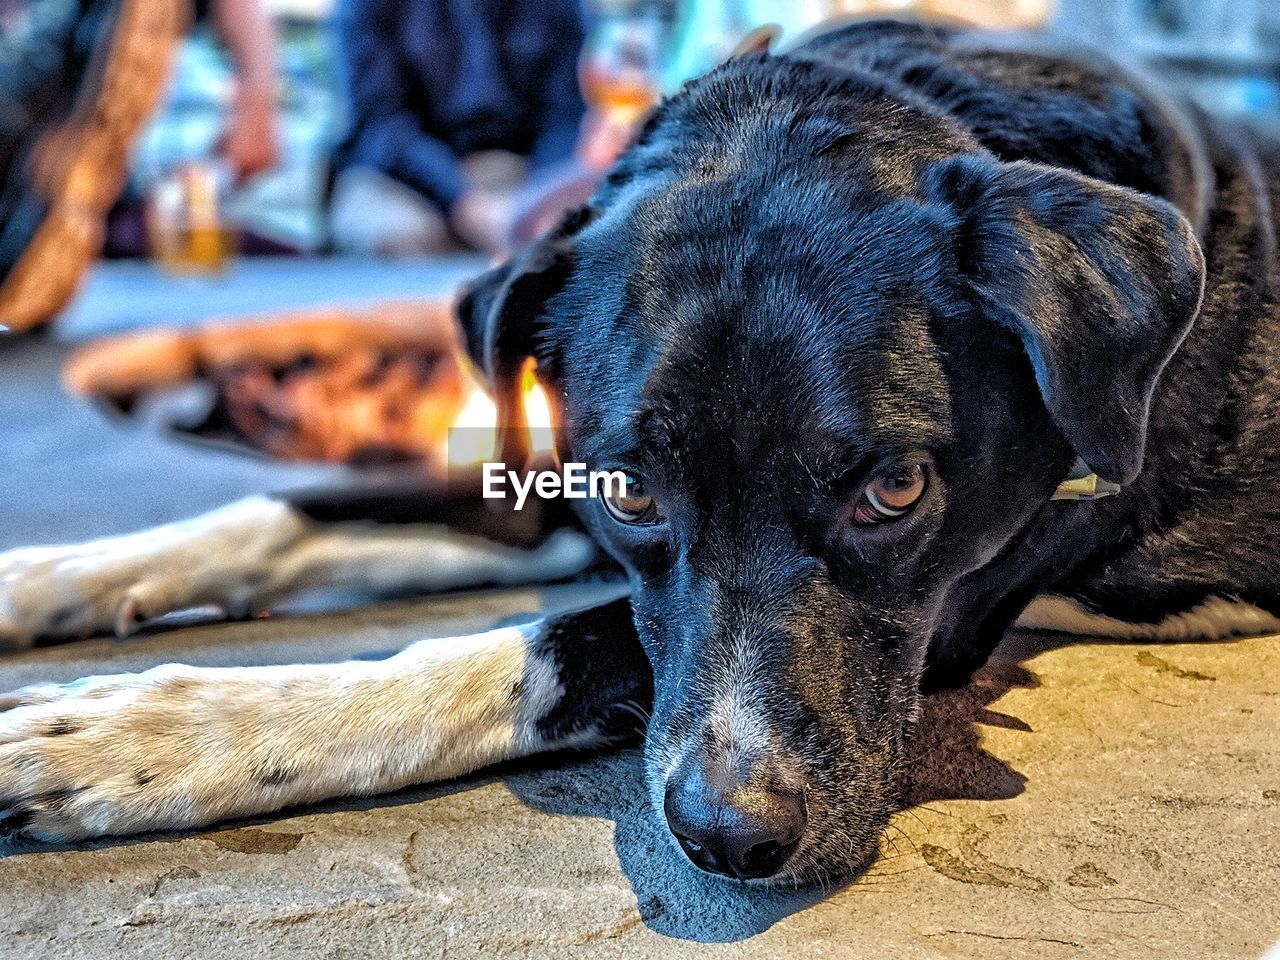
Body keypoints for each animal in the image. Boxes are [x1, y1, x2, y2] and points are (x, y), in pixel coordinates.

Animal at [2, 18, 1280, 885]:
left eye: (894, 489)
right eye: (628, 493)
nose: (731, 838)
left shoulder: (961, 602)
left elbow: (545, 646)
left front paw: (147, 738)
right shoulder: (546, 472)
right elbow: (289, 513)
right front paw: (46, 578)